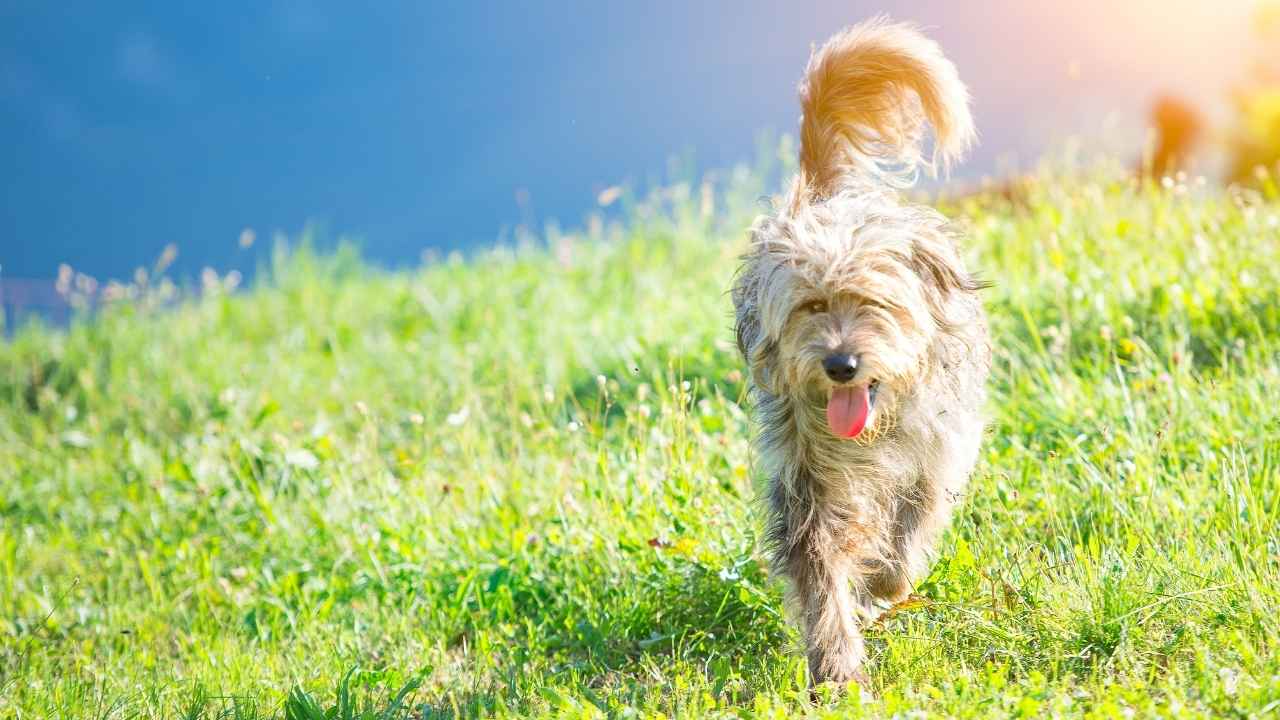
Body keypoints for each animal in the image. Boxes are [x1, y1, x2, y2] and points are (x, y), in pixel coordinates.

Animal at [732, 19, 988, 686]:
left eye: (872, 301)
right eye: (808, 307)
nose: (840, 365)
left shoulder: (935, 455)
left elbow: (910, 530)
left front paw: (883, 584)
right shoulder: (806, 478)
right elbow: (819, 565)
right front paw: (836, 668)